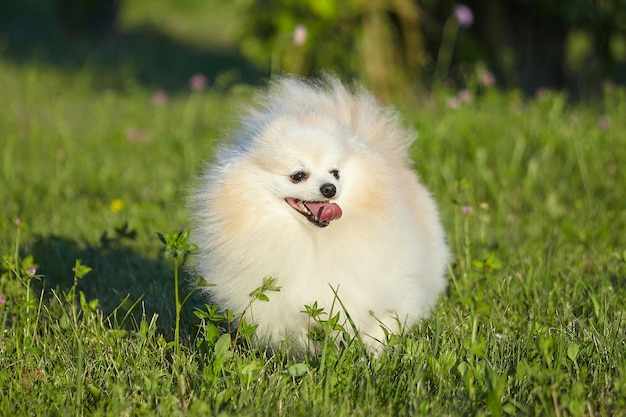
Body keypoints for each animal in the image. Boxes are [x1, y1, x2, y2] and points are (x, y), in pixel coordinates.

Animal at [188, 75, 446, 352]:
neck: (313, 240)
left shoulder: (386, 288)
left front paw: (374, 351)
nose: (330, 188)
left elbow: (381, 326)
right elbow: (299, 335)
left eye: (335, 173)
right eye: (298, 175)